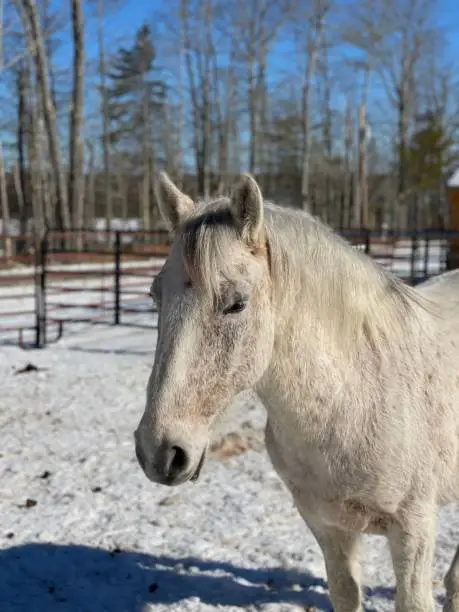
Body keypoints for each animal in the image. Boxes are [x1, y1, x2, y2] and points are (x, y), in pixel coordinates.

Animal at [135, 172, 459, 612]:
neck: (352, 402)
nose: (159, 452)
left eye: (237, 304)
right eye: (156, 295)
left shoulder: (413, 532)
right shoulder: (329, 528)